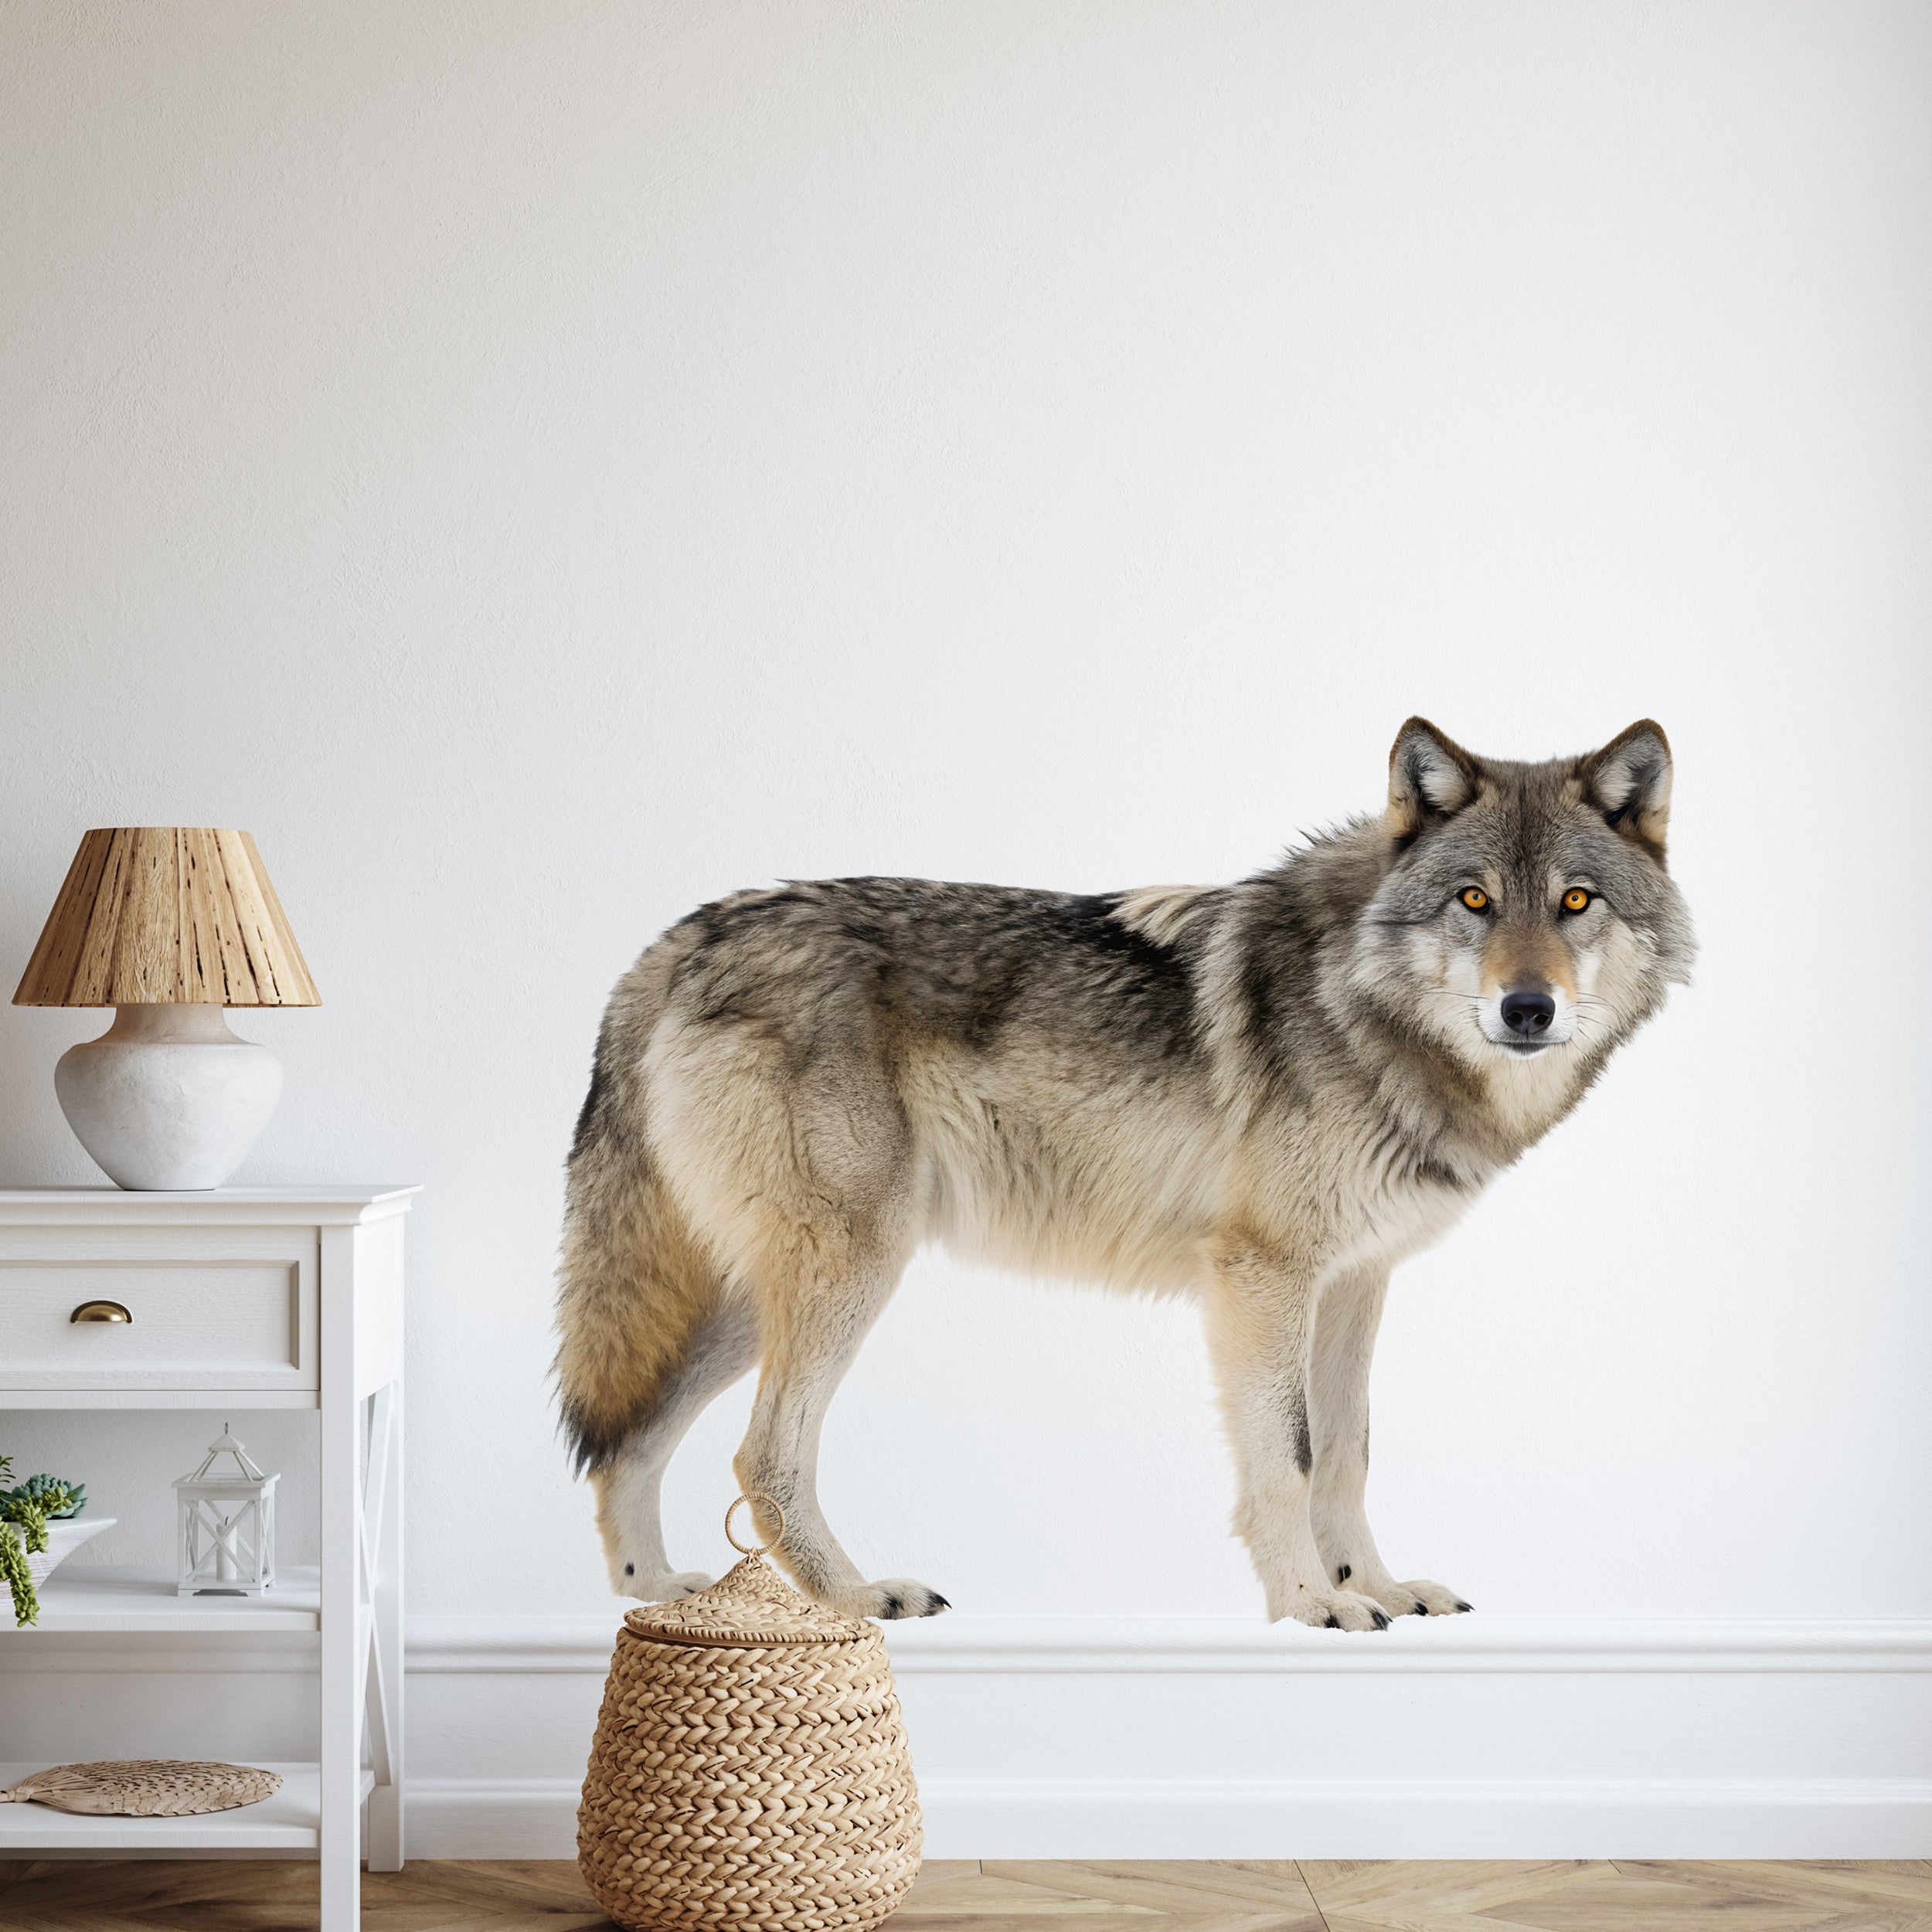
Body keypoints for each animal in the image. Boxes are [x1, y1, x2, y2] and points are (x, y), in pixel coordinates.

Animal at [555, 718, 1693, 1629]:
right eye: (1474, 900)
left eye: (1576, 901)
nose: (1527, 1009)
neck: (1364, 1007)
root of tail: (672, 942)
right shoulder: (1262, 1278)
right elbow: (1289, 1458)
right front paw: (1311, 1603)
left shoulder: (1354, 1284)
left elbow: (1348, 1454)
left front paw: (1374, 1585)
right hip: (848, 1269)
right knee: (761, 1454)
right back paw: (853, 1597)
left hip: (755, 1294)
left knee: (630, 1440)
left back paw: (655, 1597)